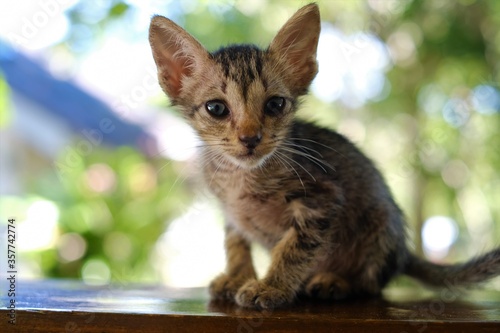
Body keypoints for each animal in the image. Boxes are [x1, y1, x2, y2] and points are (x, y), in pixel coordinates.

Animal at [149, 3, 500, 308]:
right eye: (216, 108)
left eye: (275, 104)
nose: (250, 138)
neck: (242, 177)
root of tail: (403, 253)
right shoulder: (231, 212)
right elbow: (235, 244)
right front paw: (237, 277)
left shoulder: (322, 198)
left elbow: (294, 248)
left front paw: (271, 286)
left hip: (380, 225)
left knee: (371, 285)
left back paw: (335, 282)